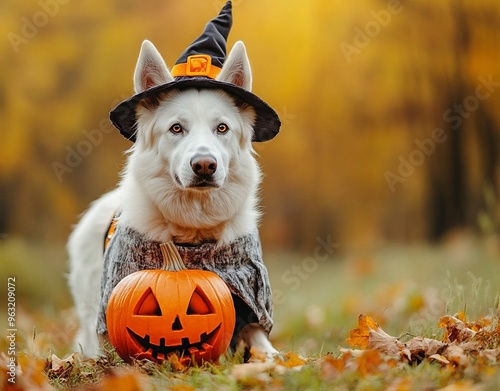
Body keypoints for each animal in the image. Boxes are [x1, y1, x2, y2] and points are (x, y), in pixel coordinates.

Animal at [66, 25, 280, 362]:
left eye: (222, 128)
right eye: (176, 128)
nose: (204, 165)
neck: (192, 231)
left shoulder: (251, 290)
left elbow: (260, 339)